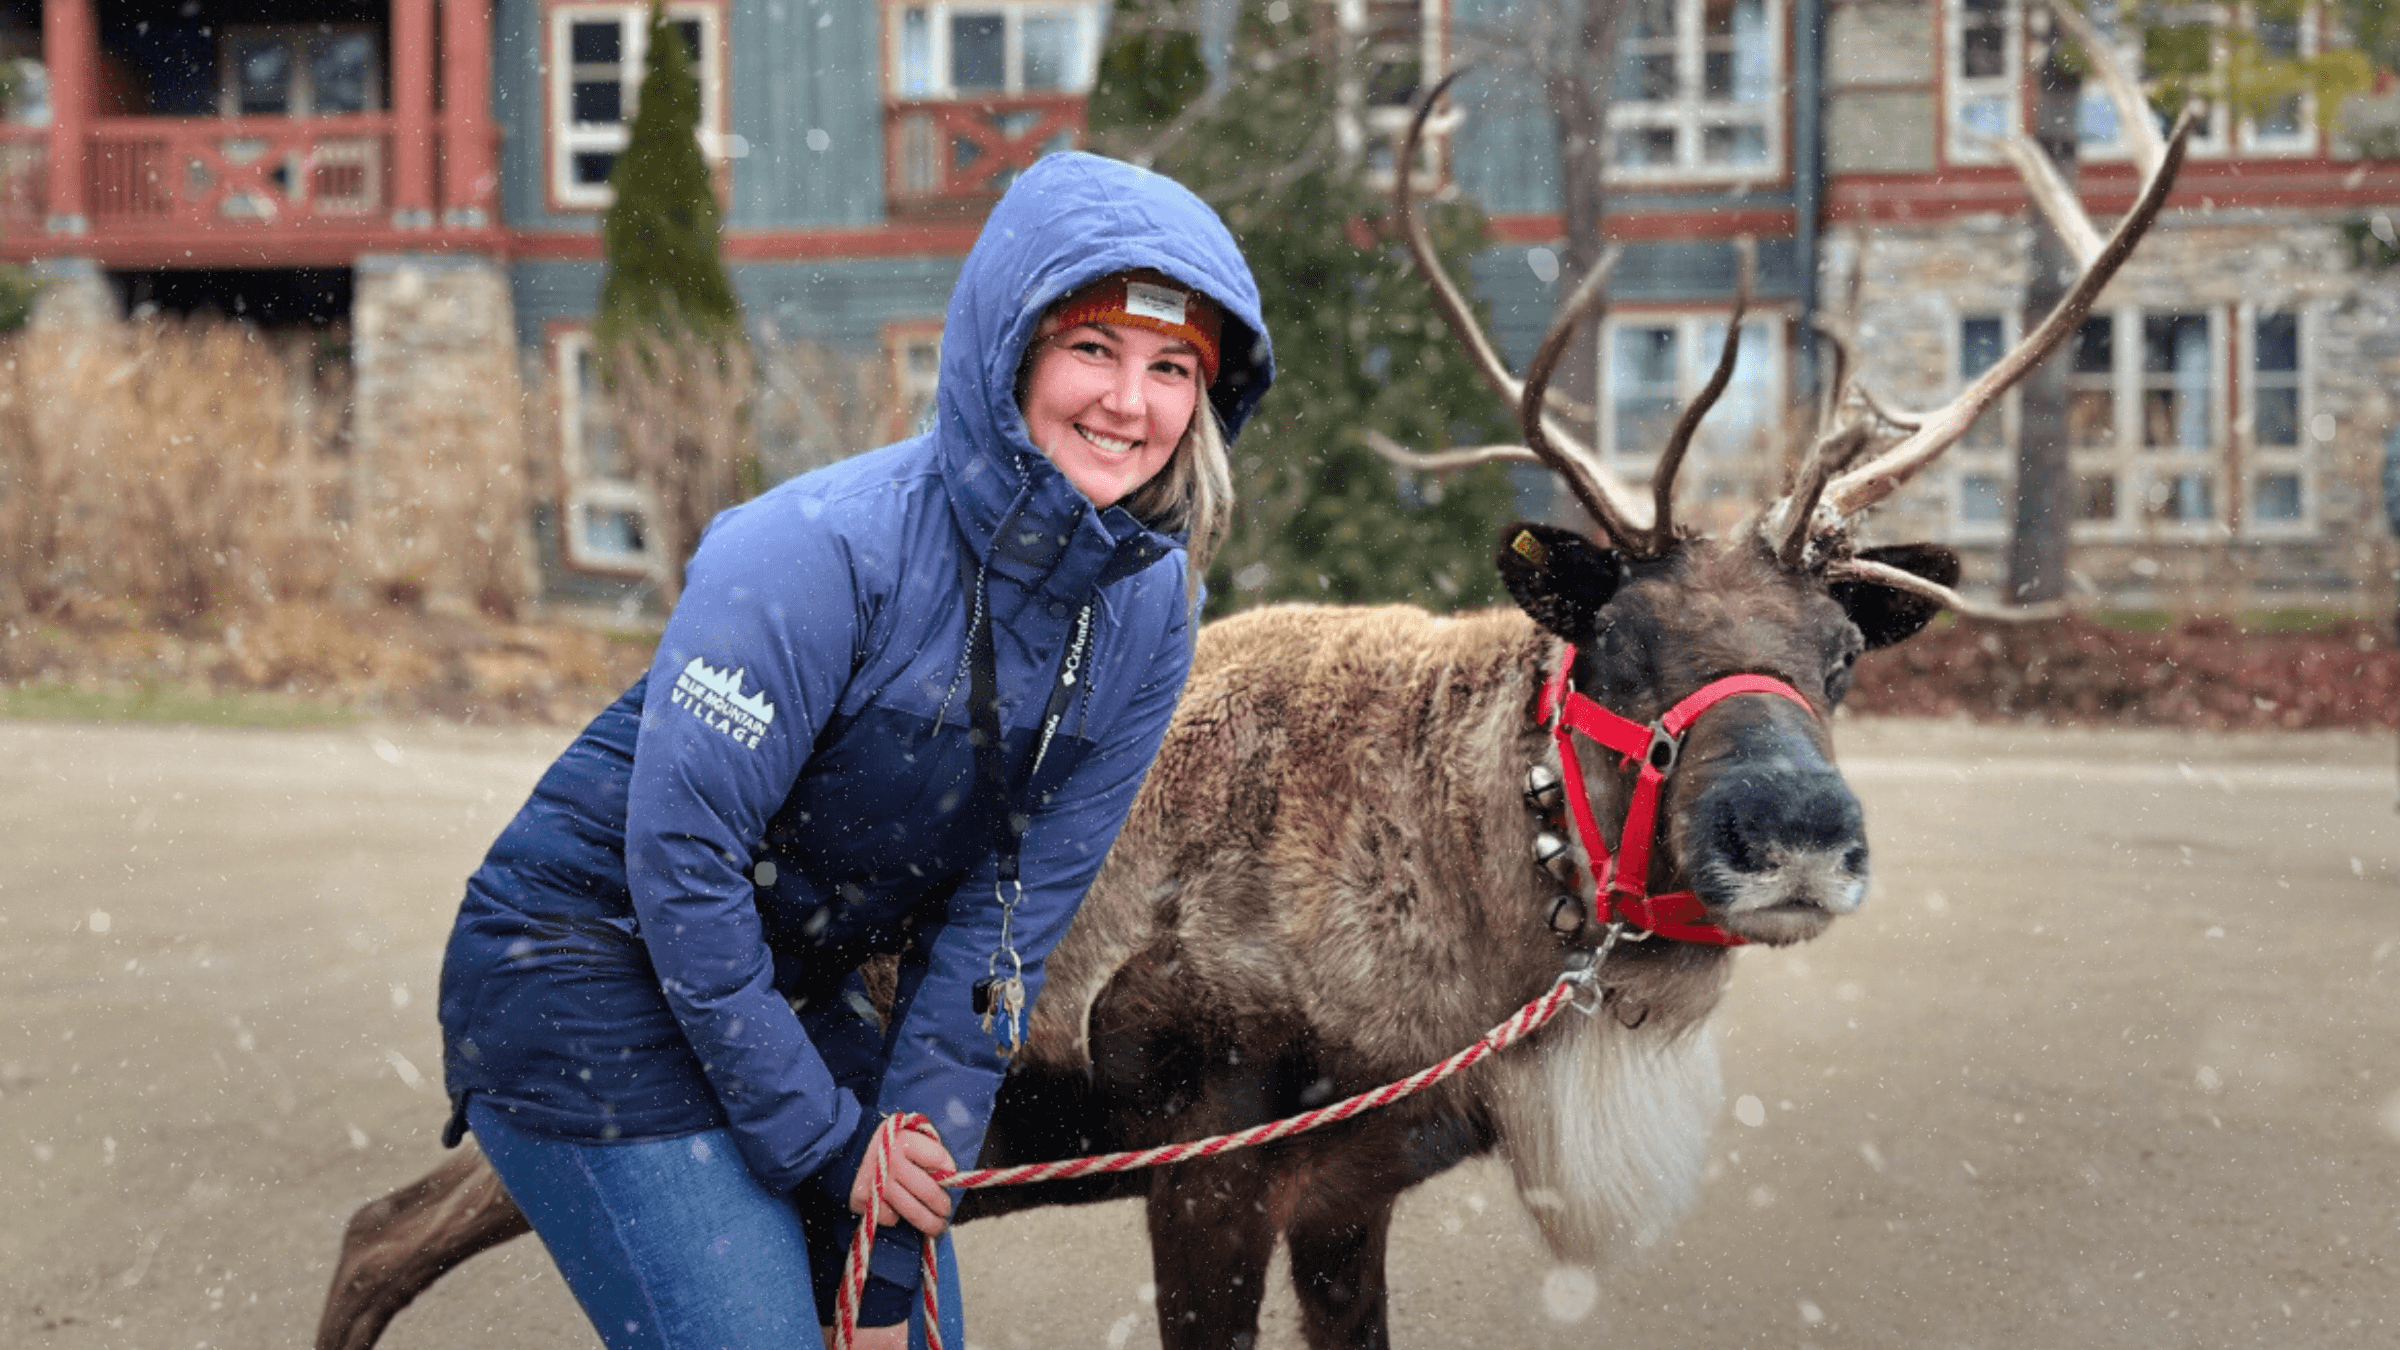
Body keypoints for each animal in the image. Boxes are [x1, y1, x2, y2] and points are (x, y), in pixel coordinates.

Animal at [317, 41, 2196, 1350]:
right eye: (1616, 644)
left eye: (1840, 659)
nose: (1799, 830)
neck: (1461, 934)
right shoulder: (1210, 1163)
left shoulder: (1351, 1185)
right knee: (381, 1229)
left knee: (389, 1223)